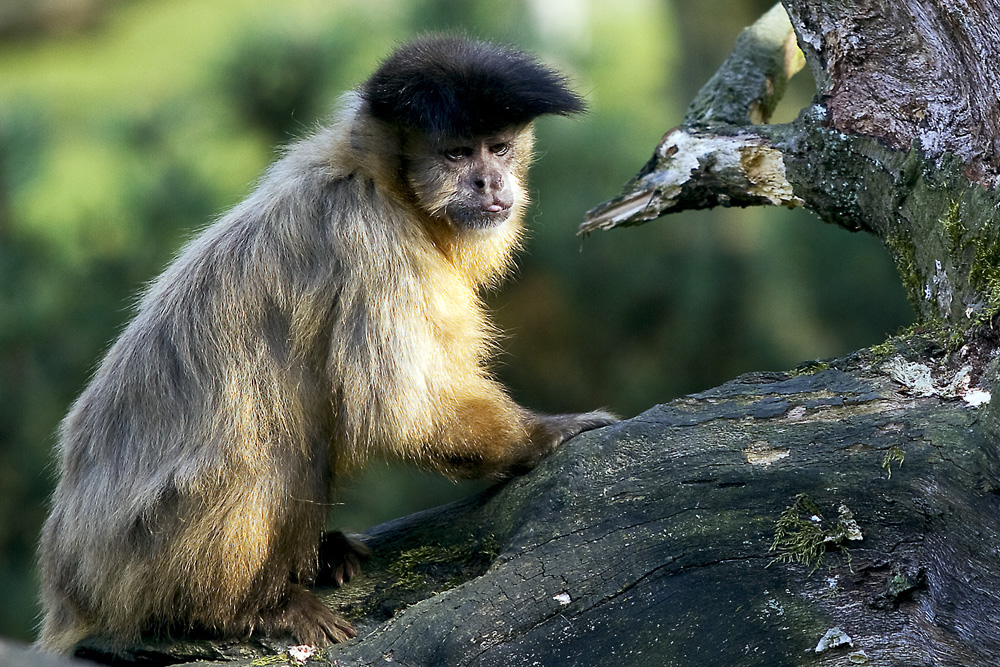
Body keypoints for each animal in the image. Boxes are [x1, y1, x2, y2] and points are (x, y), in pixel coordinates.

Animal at [37, 36, 616, 652]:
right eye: (459, 156)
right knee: (270, 441)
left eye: (499, 149)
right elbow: (400, 412)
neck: (382, 184)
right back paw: (242, 610)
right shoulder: (374, 239)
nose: (490, 182)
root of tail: (67, 584)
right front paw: (543, 435)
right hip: (134, 562)